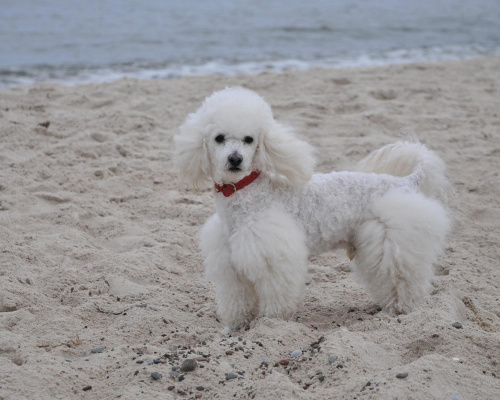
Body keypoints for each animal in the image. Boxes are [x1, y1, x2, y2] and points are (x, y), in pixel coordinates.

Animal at [173, 86, 454, 328]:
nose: (235, 159)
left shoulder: (272, 253)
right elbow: (237, 297)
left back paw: (402, 309)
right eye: (219, 138)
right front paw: (238, 324)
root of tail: (406, 181)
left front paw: (271, 321)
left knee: (404, 278)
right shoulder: (230, 261)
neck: (244, 192)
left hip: (393, 239)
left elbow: (276, 292)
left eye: (249, 139)